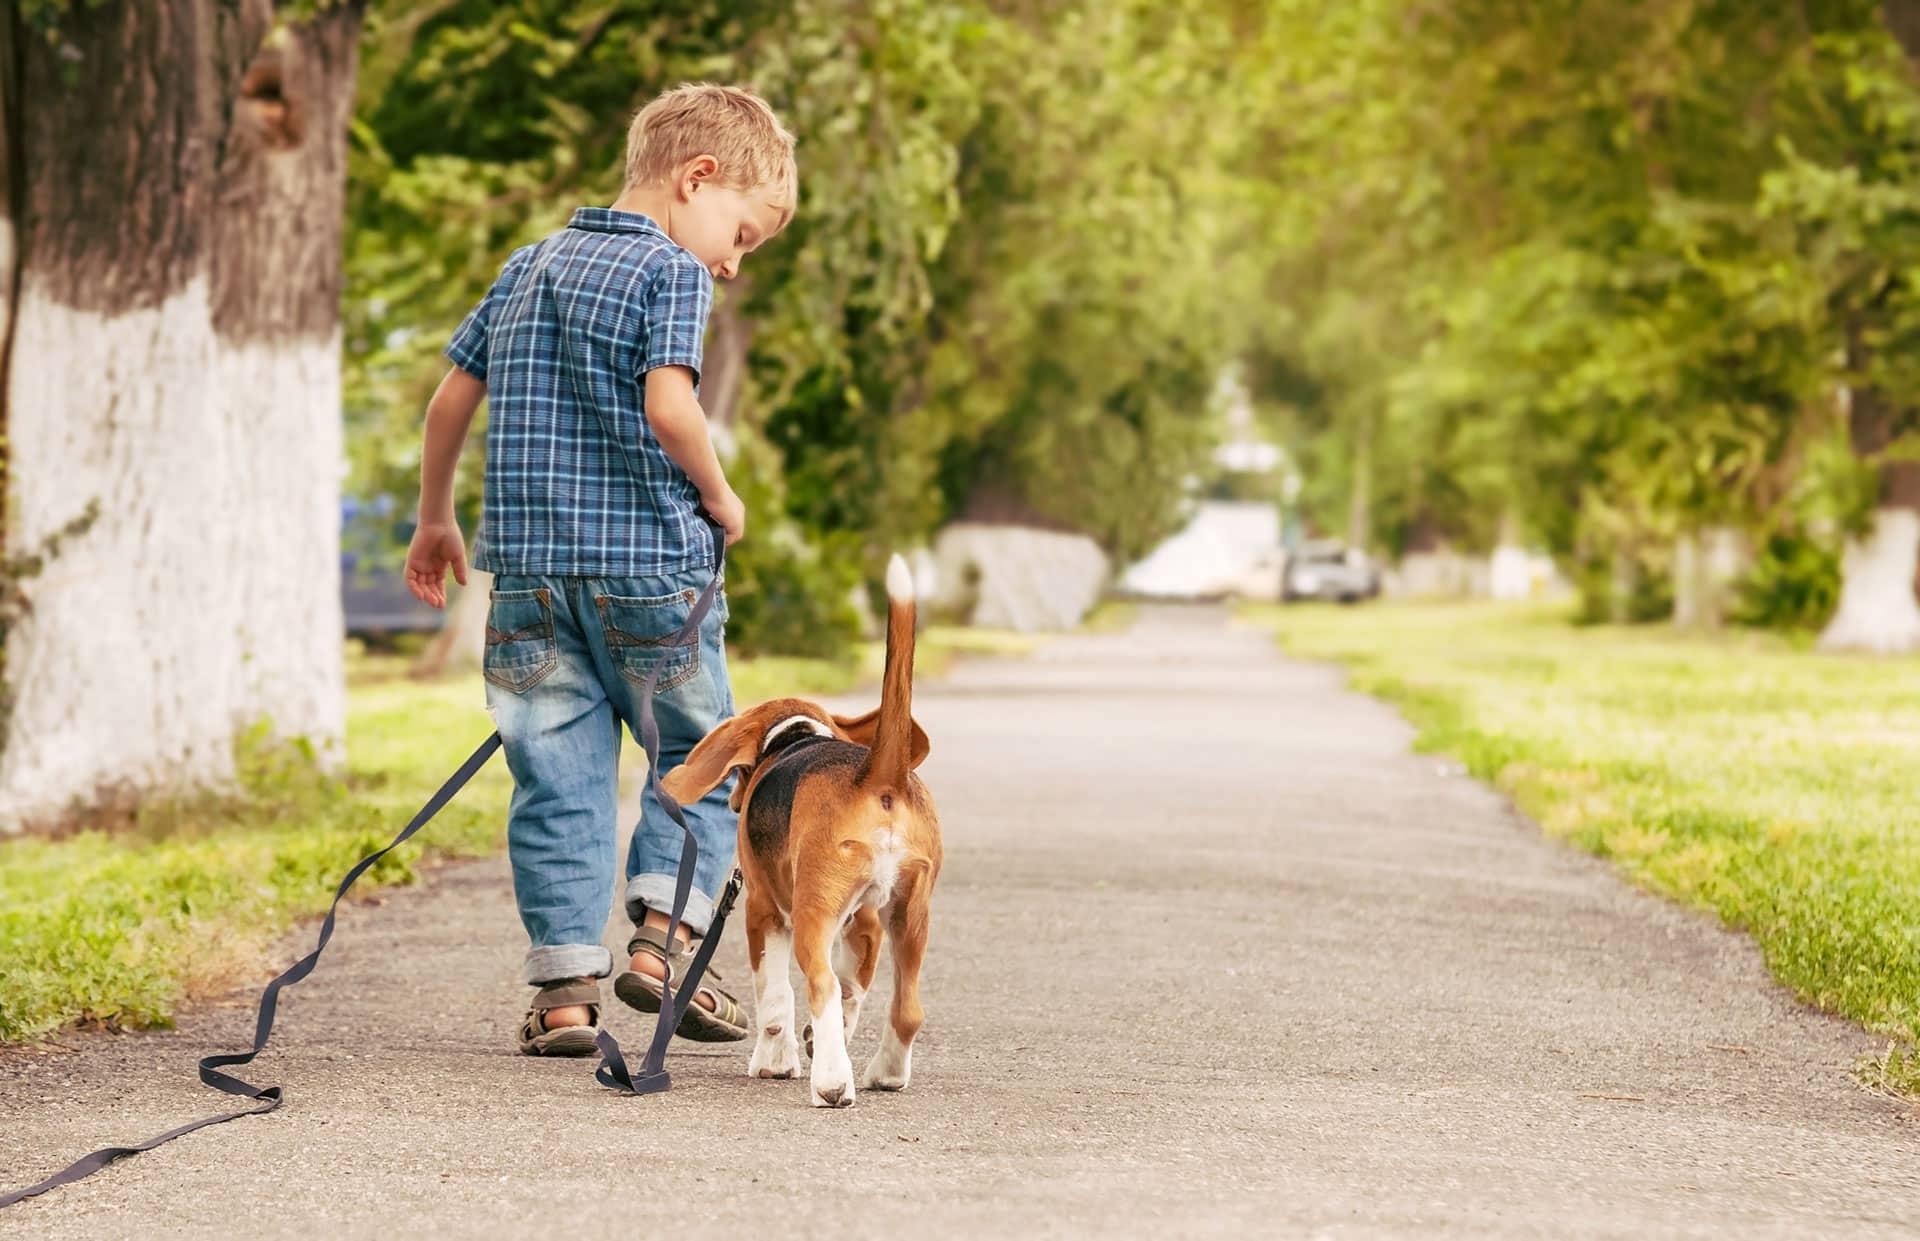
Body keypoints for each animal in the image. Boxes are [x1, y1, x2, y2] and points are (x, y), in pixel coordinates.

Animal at [664, 553, 940, 1106]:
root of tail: (878, 774)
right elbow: (854, 994)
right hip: (910, 914)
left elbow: (775, 997)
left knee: (820, 984)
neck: (794, 737)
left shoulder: (762, 911)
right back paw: (884, 1073)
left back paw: (832, 1083)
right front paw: (815, 1041)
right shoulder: (865, 923)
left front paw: (775, 1061)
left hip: (813, 911)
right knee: (906, 1008)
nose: (735, 799)